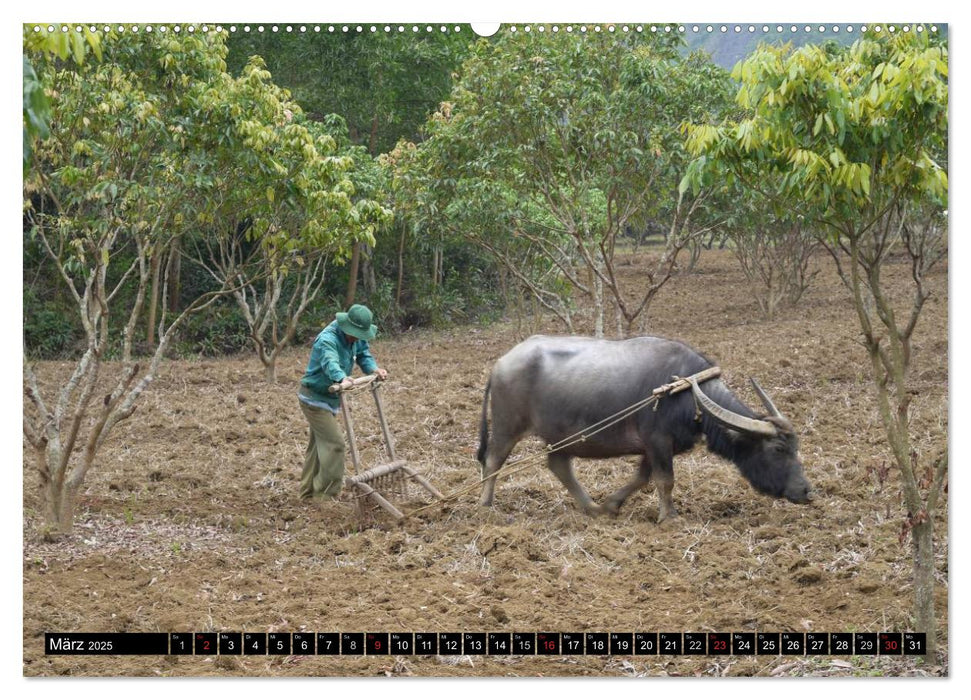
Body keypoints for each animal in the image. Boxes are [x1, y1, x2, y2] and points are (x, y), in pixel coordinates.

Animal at [478, 336, 812, 524]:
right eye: (778, 449)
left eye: (796, 448)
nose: (807, 491)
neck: (686, 393)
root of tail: (500, 364)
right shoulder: (658, 440)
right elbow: (665, 480)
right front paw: (669, 518)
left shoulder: (653, 447)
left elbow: (643, 477)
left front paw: (612, 504)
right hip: (508, 427)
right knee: (493, 462)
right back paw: (486, 506)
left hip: (562, 437)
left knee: (559, 465)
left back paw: (592, 507)